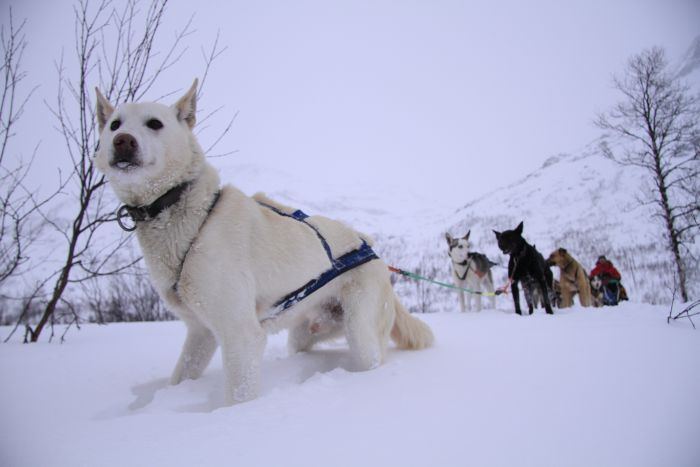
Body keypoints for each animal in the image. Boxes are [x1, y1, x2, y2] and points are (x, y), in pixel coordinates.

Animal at [93, 79, 432, 406]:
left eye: (154, 123)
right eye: (114, 124)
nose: (122, 140)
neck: (194, 219)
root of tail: (372, 249)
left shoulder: (240, 335)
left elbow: (238, 397)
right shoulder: (201, 332)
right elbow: (181, 374)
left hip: (360, 333)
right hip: (305, 333)